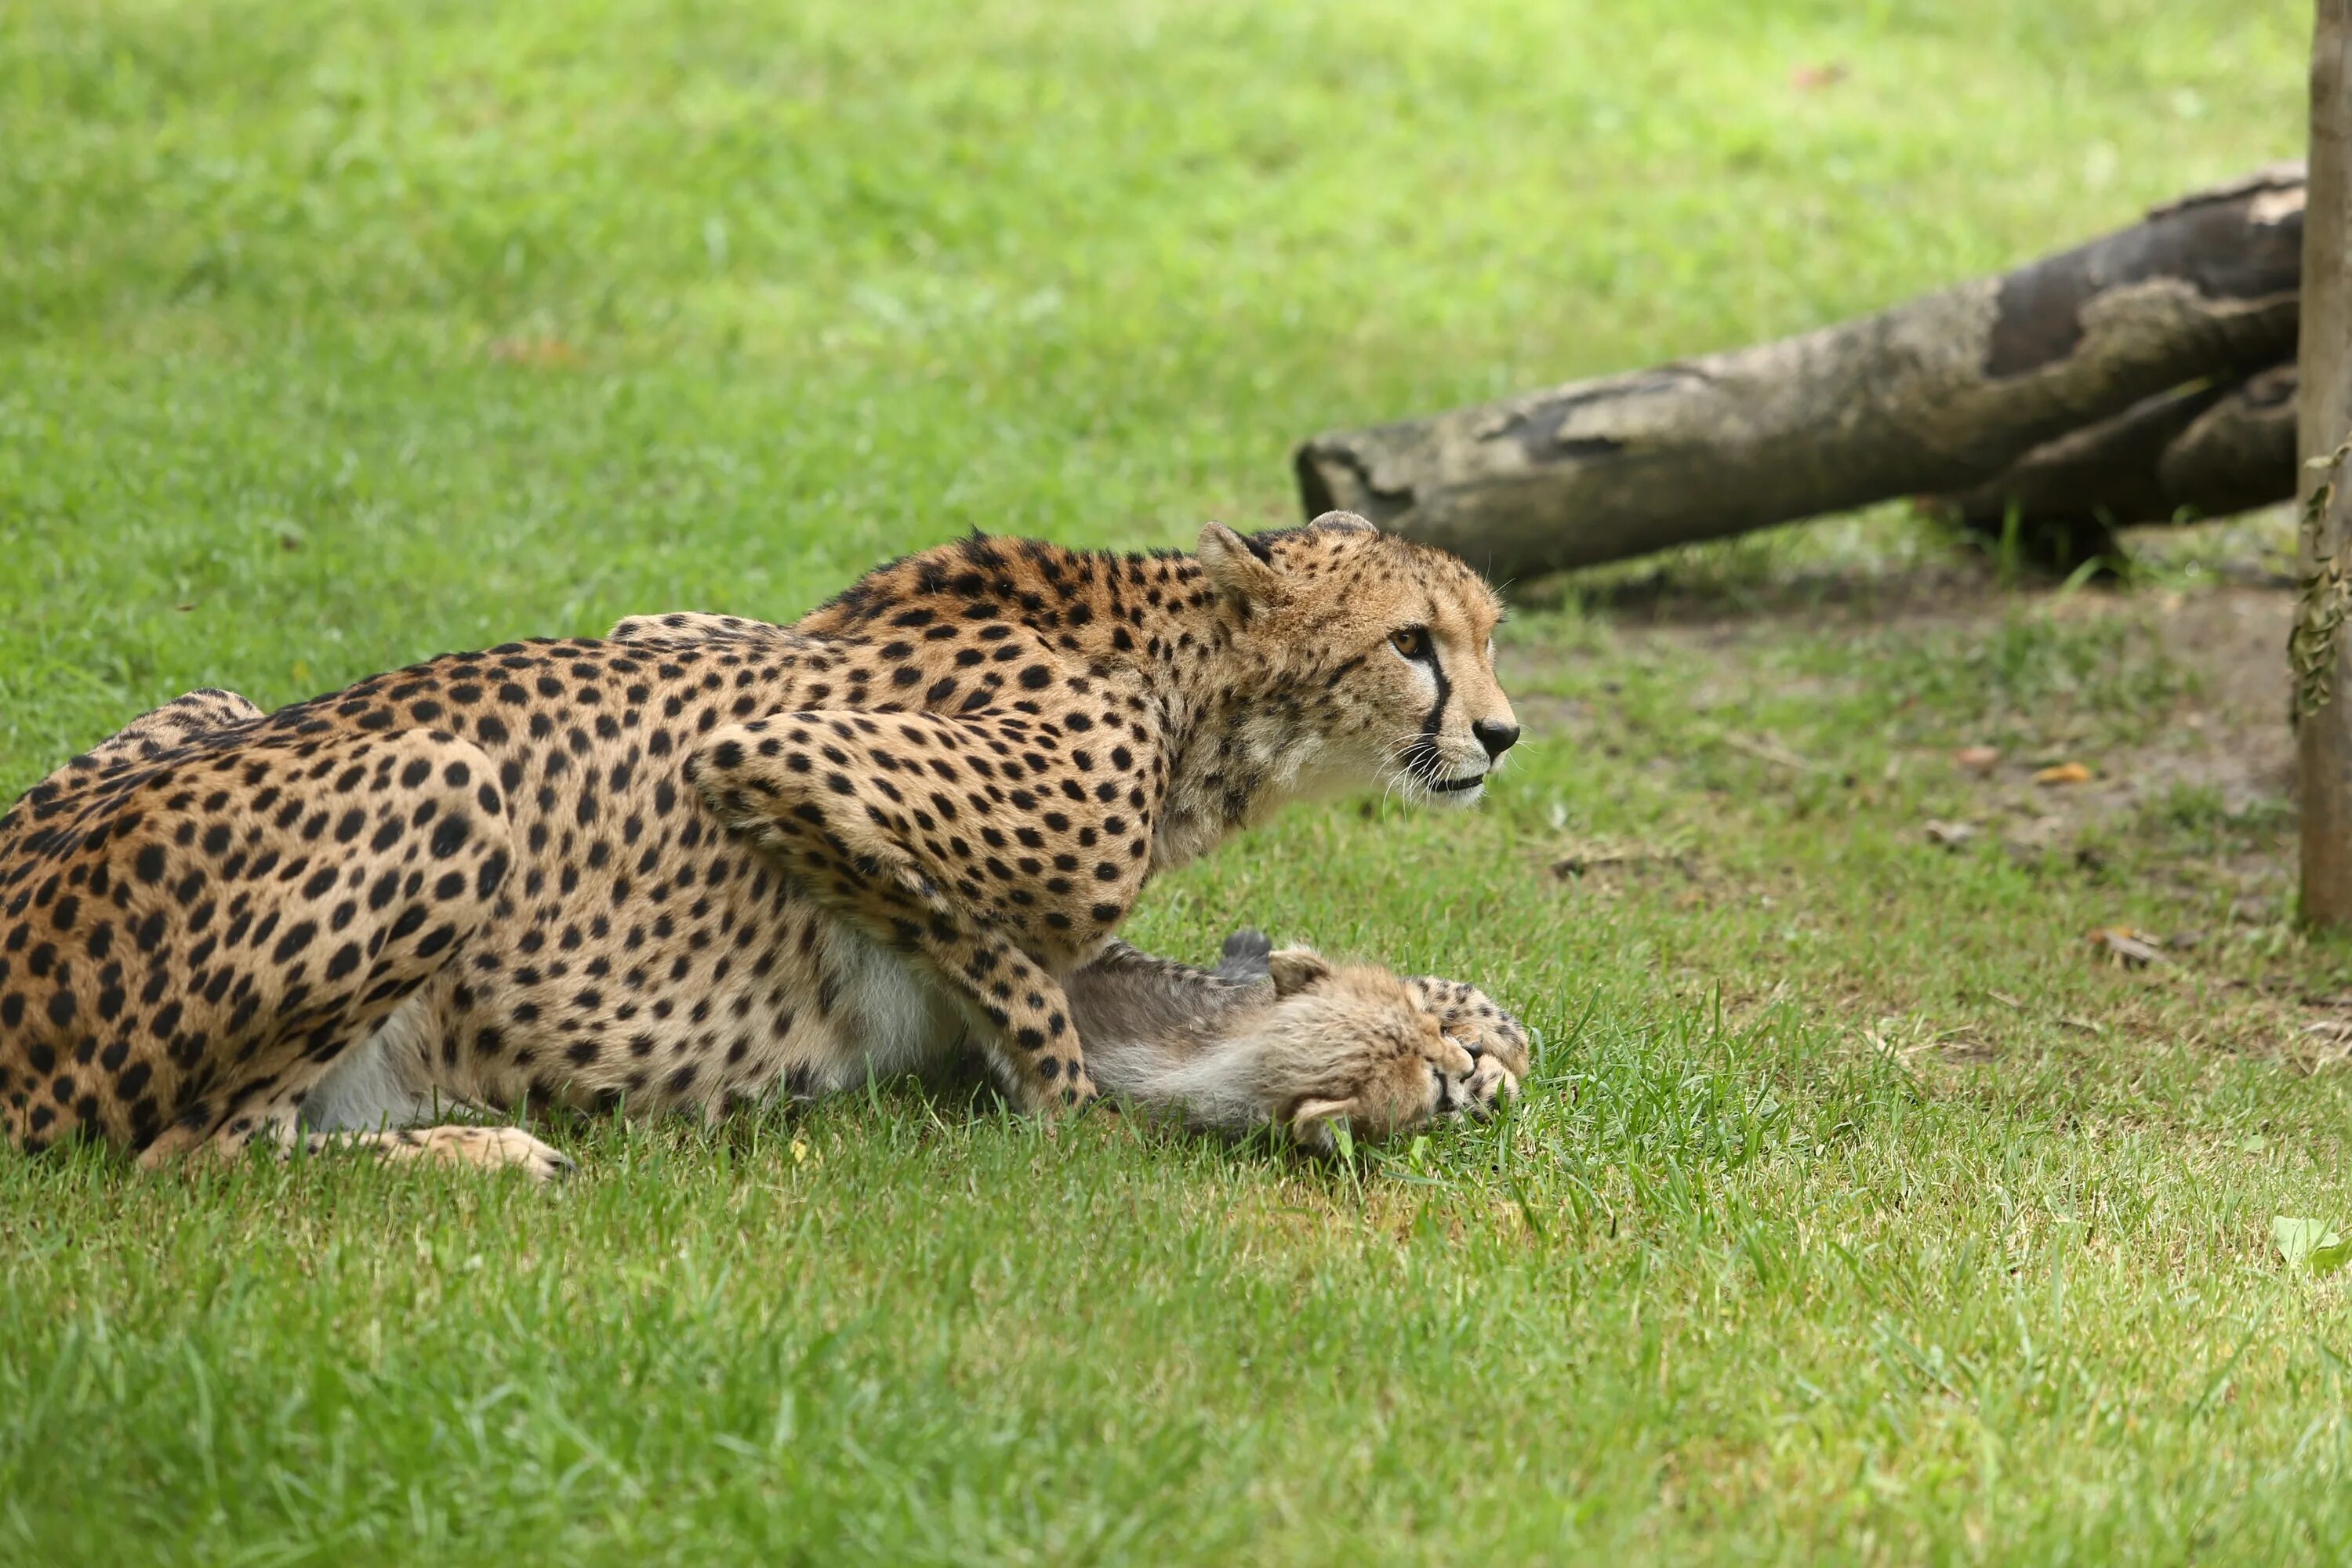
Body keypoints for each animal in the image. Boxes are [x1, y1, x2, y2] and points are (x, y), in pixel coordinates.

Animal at [0, 514, 1524, 1175]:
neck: (1193, 687)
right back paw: (483, 1155)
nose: (1504, 735)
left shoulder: (677, 629)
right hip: (445, 778)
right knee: (188, 1159)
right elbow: (1009, 969)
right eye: (1413, 644)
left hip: (212, 706)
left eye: (1492, 631)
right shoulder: (772, 757)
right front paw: (1065, 1101)